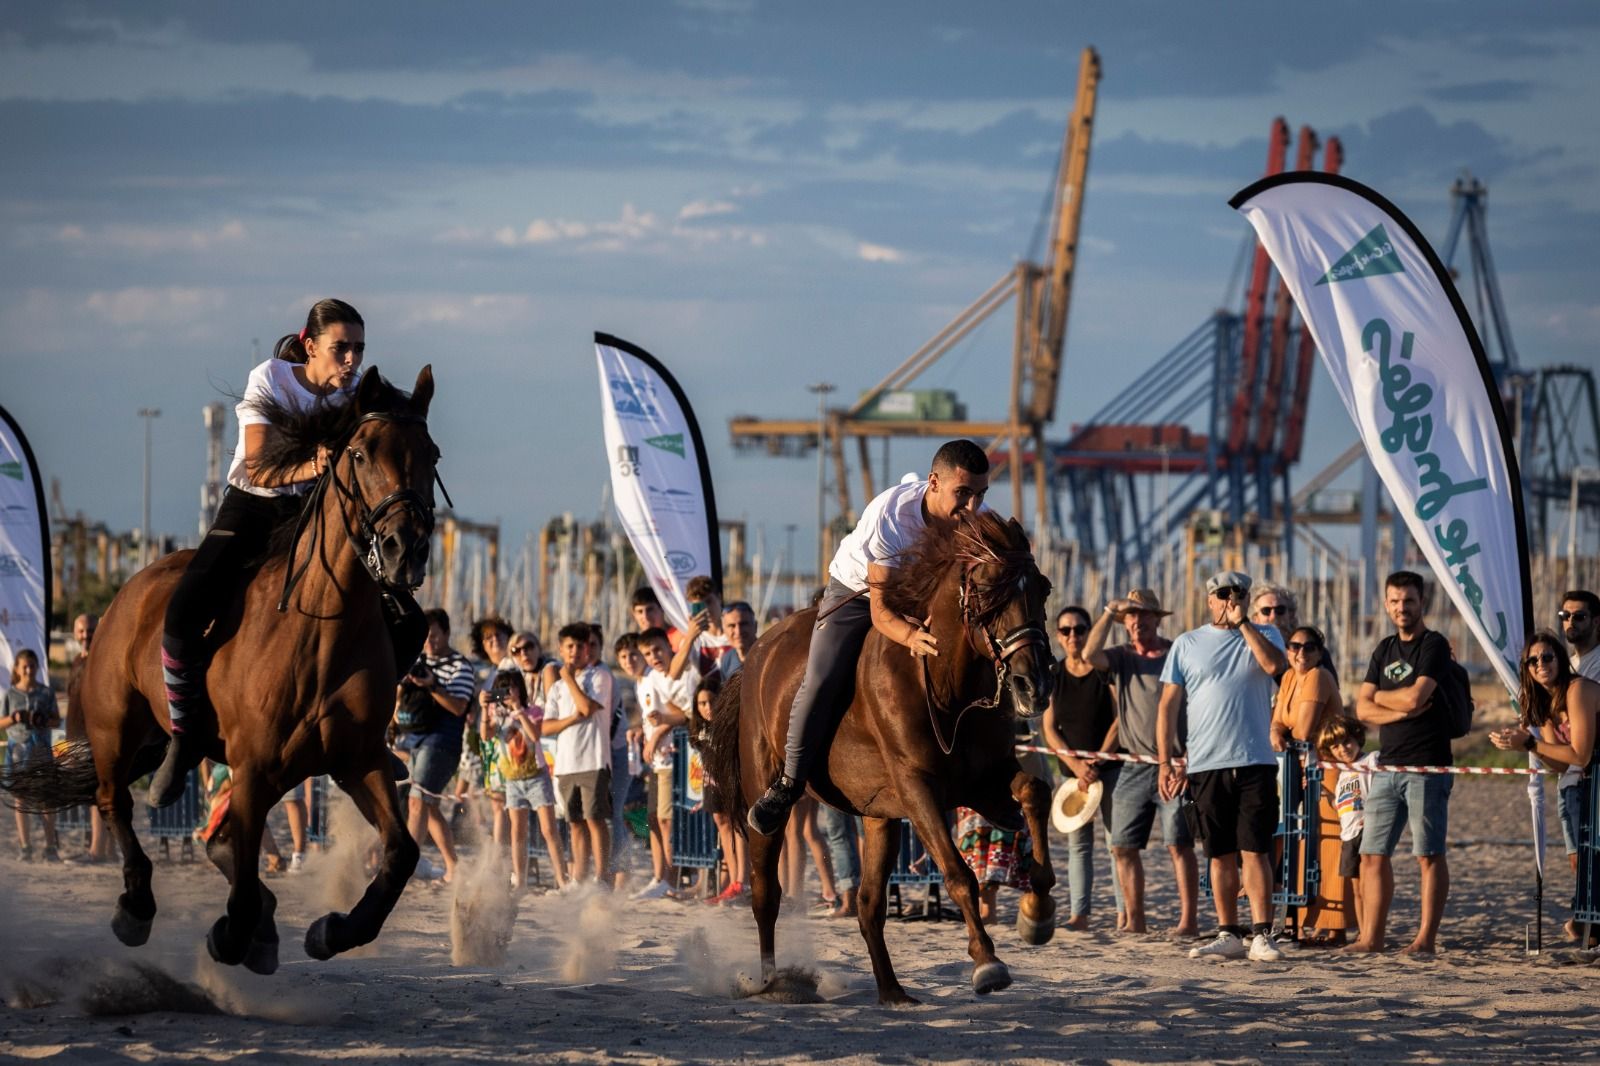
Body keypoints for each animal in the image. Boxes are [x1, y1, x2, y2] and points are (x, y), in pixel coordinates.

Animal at [4, 368, 438, 973]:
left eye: (432, 455)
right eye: (358, 453)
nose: (405, 551)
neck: (321, 628)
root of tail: (131, 590)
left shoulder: (359, 760)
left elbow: (401, 853)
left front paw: (331, 931)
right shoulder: (253, 767)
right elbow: (243, 884)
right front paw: (234, 934)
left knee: (216, 840)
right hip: (117, 728)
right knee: (115, 801)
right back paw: (137, 906)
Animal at [707, 512, 1056, 998]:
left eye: (1043, 588)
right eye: (988, 591)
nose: (1034, 685)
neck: (946, 683)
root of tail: (755, 653)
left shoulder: (983, 781)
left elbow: (1035, 793)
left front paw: (1037, 914)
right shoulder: (918, 788)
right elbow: (958, 874)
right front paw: (987, 962)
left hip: (879, 816)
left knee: (868, 904)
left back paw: (893, 993)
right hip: (767, 799)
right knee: (766, 895)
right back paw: (773, 982)